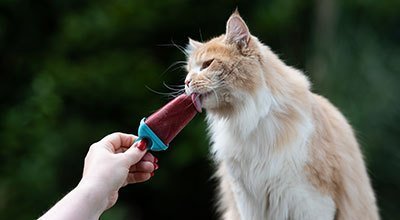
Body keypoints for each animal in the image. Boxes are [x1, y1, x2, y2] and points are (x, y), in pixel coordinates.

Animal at [184, 11, 378, 220]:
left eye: (207, 64)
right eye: (188, 71)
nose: (187, 82)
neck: (249, 120)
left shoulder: (311, 202)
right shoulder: (246, 201)